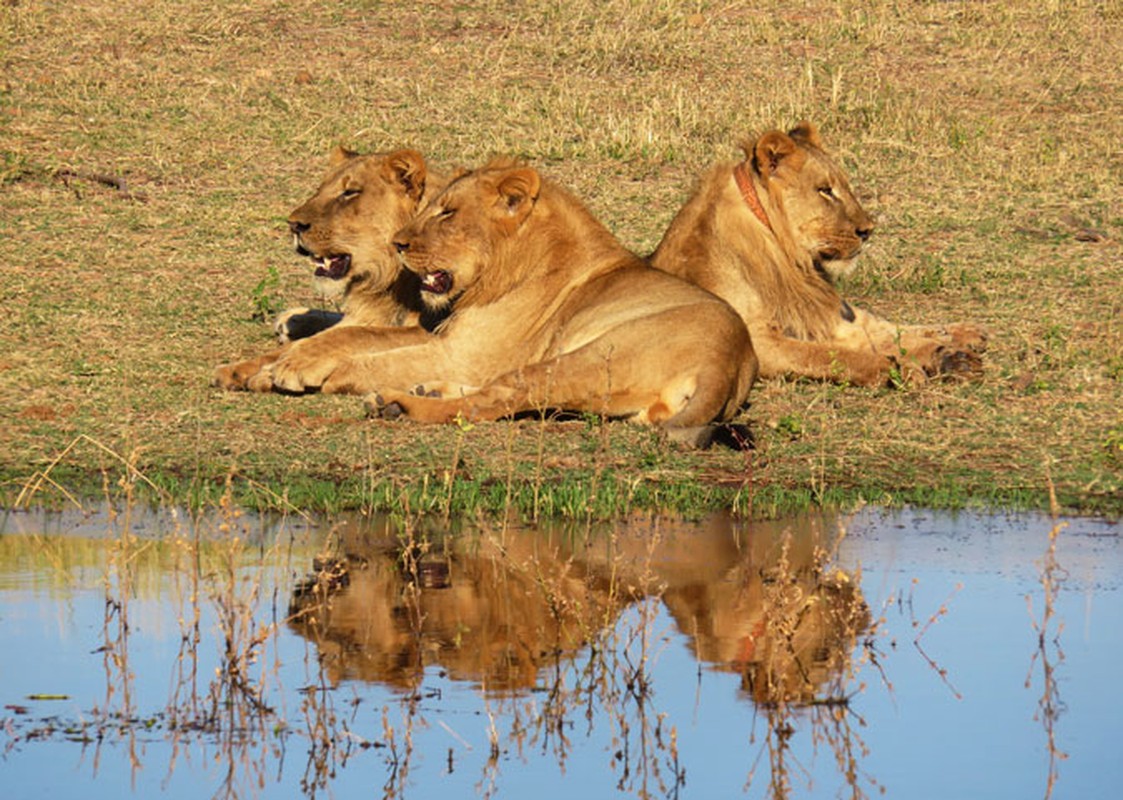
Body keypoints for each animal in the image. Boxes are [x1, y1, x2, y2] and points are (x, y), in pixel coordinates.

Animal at [213, 148, 446, 393]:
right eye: (319, 190)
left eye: (350, 192)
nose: (293, 225)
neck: (386, 276)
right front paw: (236, 369)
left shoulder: (437, 330)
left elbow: (355, 334)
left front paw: (289, 366)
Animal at [262, 159, 754, 447]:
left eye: (447, 213)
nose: (398, 243)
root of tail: (728, 361)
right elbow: (365, 338)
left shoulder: (463, 353)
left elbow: (374, 354)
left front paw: (318, 367)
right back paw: (427, 390)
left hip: (580, 358)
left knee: (492, 401)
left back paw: (399, 404)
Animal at [646, 121, 988, 386]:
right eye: (825, 190)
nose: (868, 230)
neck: (787, 258)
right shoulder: (758, 341)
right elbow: (829, 354)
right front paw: (895, 368)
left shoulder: (822, 317)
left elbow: (886, 333)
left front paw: (946, 348)